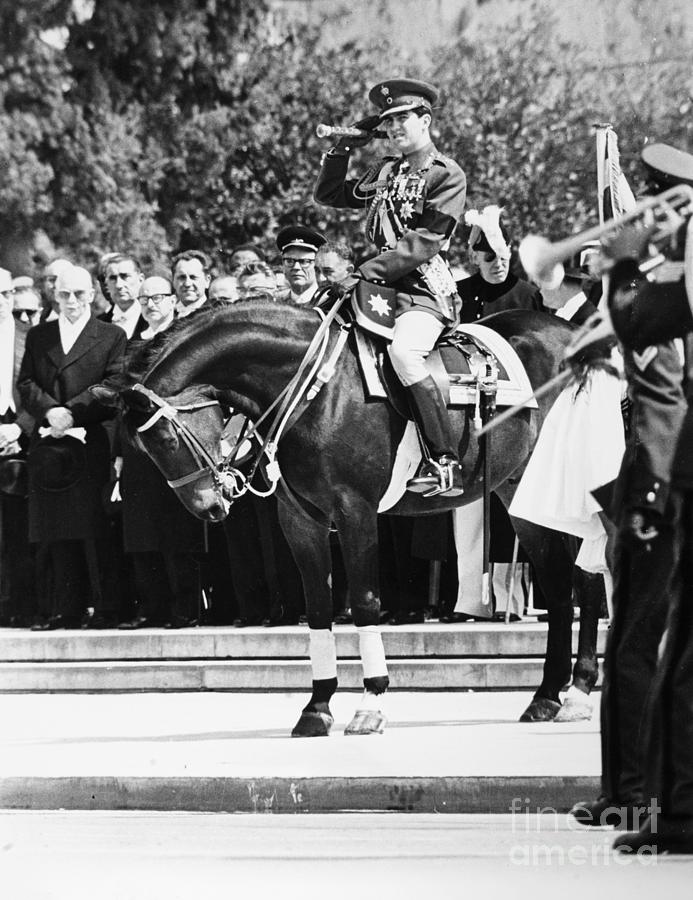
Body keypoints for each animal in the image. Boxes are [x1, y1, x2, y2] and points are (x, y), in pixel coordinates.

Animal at [108, 302, 600, 740]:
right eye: (144, 448)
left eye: (167, 438)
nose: (209, 507)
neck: (316, 392)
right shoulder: (300, 519)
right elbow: (319, 609)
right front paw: (317, 706)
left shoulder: (355, 510)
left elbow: (363, 601)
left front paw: (371, 703)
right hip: (521, 493)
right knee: (559, 585)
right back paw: (547, 695)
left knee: (586, 579)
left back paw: (579, 690)